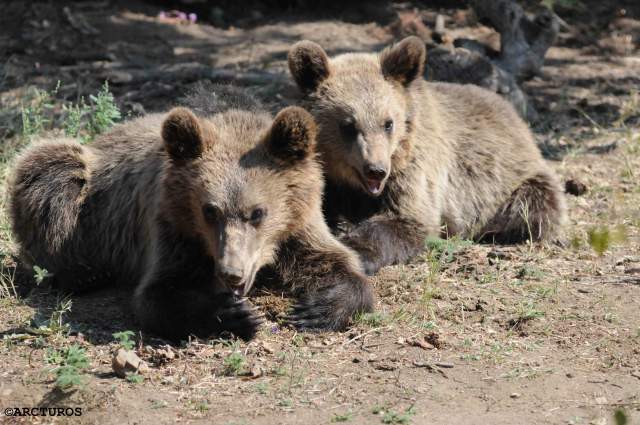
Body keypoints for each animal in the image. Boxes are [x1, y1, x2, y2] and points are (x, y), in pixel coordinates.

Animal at [7, 91, 372, 340]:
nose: (231, 273)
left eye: (258, 213)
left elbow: (338, 262)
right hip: (86, 197)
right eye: (209, 210)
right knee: (50, 171)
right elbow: (158, 295)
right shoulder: (171, 228)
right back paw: (82, 273)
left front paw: (315, 309)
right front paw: (235, 314)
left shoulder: (299, 224)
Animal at [288, 36, 564, 274]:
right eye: (348, 125)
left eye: (388, 123)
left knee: (533, 206)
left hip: (514, 180)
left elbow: (410, 220)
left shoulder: (414, 171)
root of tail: (517, 118)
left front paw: (355, 246)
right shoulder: (328, 178)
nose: (376, 170)